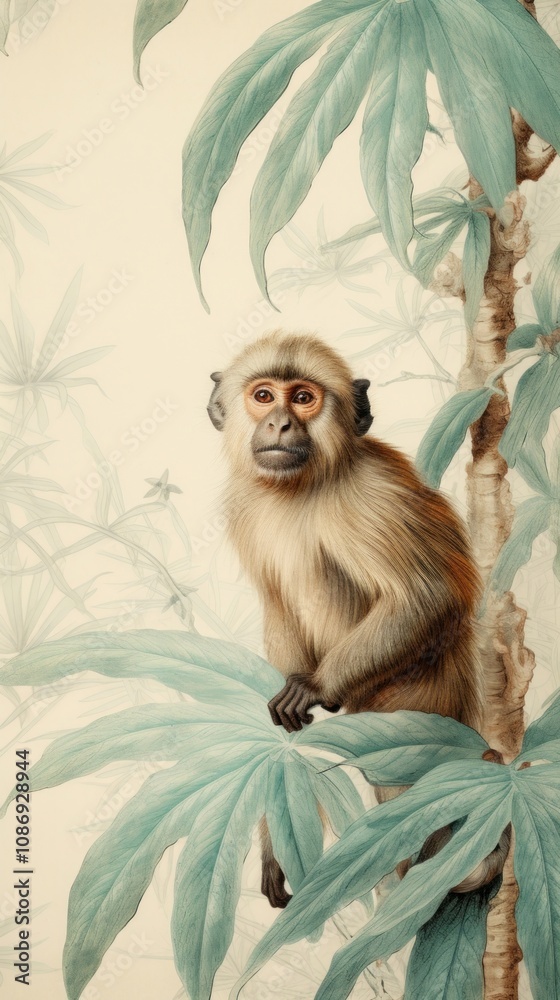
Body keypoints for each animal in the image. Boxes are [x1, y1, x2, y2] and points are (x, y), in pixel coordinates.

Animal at [207, 331, 508, 908]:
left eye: (304, 398)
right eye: (263, 396)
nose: (280, 425)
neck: (298, 488)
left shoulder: (370, 493)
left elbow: (427, 596)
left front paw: (315, 686)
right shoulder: (246, 507)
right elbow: (279, 610)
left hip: (421, 692)